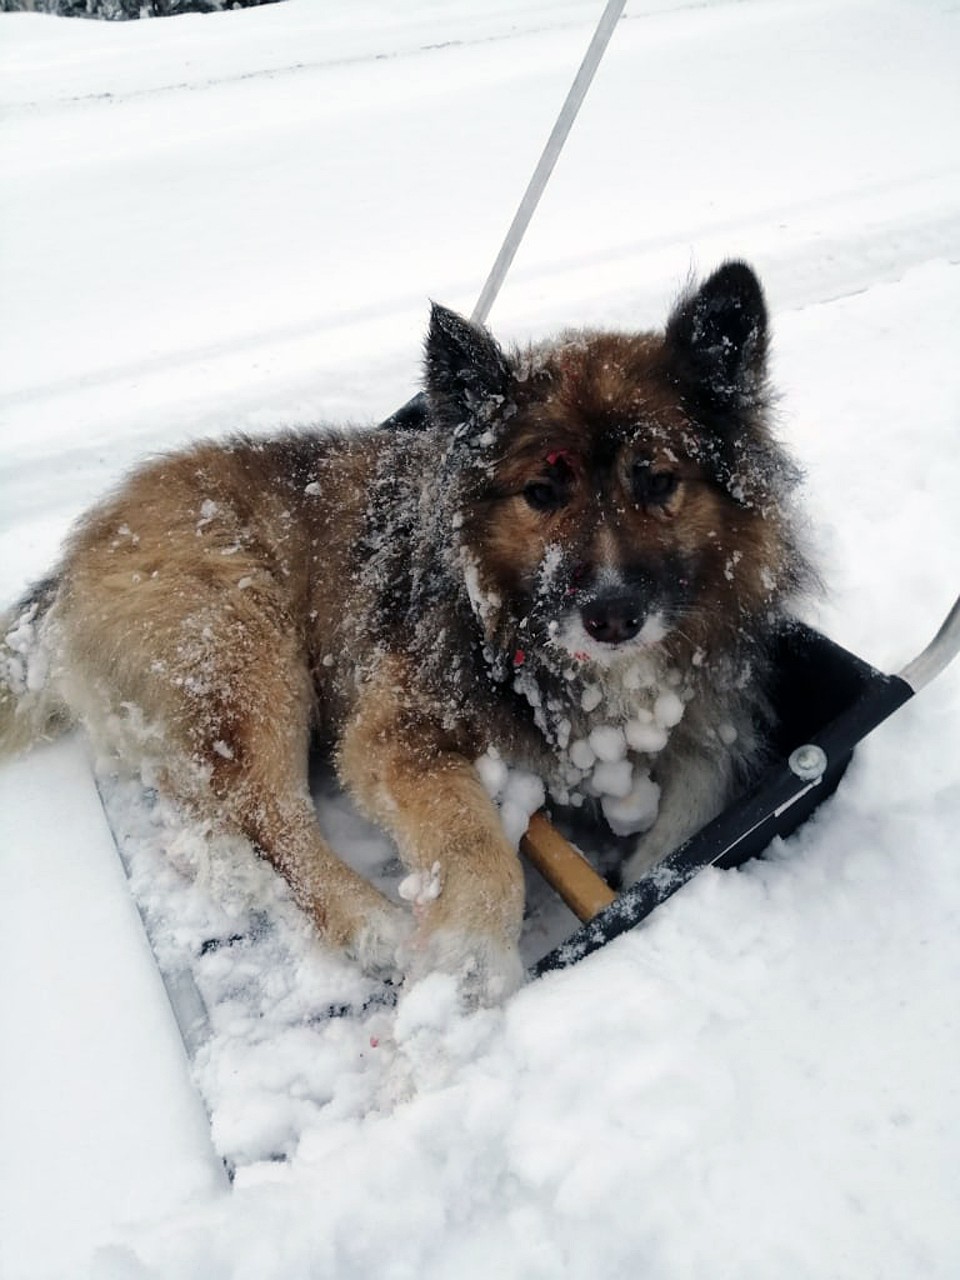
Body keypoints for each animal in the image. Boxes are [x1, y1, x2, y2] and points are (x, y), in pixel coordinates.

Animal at [0, 259, 814, 998]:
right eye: (542, 492)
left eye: (658, 481)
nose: (612, 617)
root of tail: (70, 564)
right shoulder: (394, 733)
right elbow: (477, 842)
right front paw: (471, 962)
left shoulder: (713, 710)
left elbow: (702, 791)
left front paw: (650, 872)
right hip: (247, 649)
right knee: (263, 819)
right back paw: (377, 929)